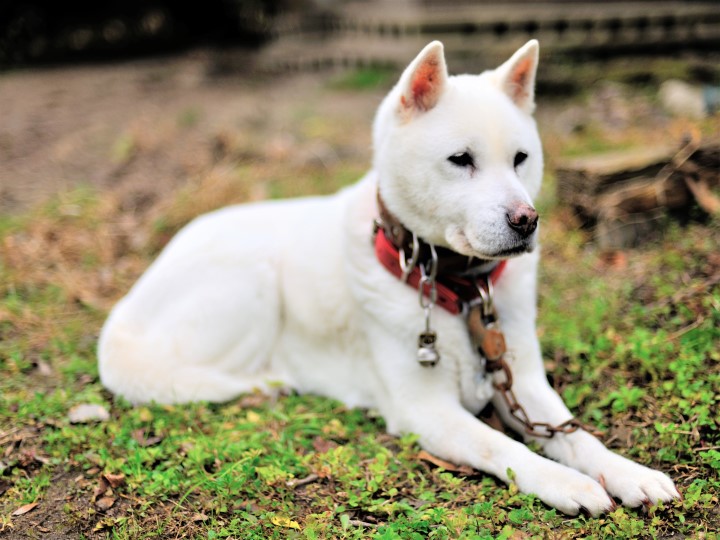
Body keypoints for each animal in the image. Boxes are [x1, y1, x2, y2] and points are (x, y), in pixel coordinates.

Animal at [100, 41, 680, 516]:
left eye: (521, 159)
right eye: (461, 159)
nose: (526, 220)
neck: (459, 288)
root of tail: (122, 315)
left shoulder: (524, 384)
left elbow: (575, 433)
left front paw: (628, 473)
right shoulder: (425, 410)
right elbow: (503, 445)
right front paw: (565, 482)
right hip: (255, 279)